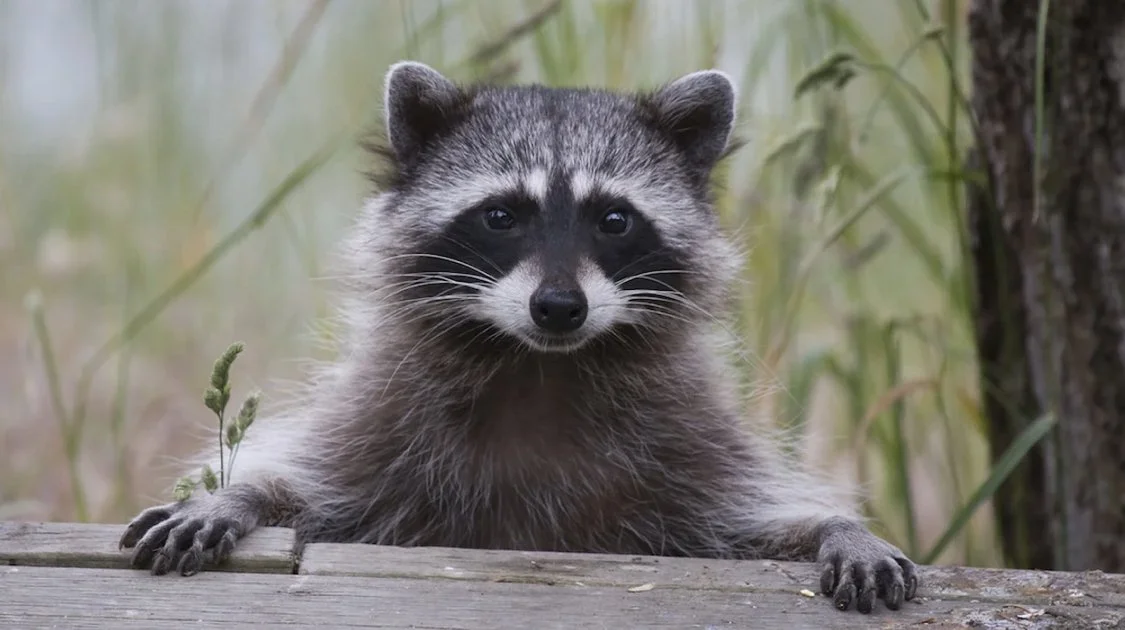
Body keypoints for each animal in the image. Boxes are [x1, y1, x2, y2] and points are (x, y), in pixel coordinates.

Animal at [120, 61, 919, 614]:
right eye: (501, 215)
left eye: (614, 219)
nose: (559, 308)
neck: (539, 367)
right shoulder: (385, 420)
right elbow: (315, 485)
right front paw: (238, 495)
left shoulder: (685, 443)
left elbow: (747, 522)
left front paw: (836, 526)